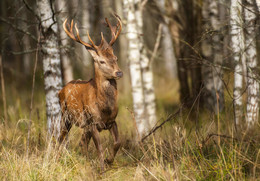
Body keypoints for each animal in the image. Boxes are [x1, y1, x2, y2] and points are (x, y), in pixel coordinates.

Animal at [58, 14, 123, 171]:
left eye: (116, 58)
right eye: (102, 61)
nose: (119, 72)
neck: (104, 108)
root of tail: (61, 90)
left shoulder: (112, 121)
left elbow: (118, 142)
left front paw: (108, 161)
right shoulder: (93, 122)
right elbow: (99, 147)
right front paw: (102, 169)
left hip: (84, 124)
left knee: (82, 142)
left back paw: (86, 163)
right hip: (66, 115)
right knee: (60, 138)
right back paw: (55, 160)